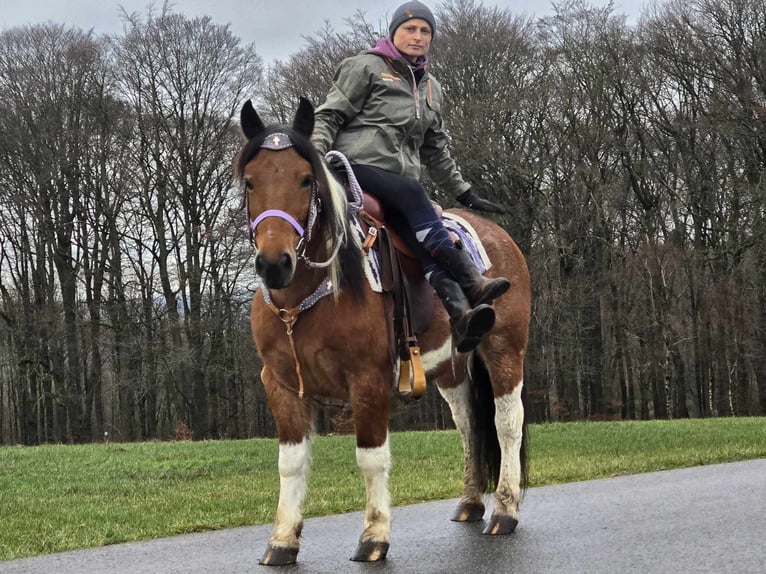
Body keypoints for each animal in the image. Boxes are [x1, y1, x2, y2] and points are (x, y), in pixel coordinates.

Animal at [237, 99, 532, 568]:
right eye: (250, 182)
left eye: (306, 180)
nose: (274, 262)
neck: (306, 299)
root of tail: (496, 234)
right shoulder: (281, 384)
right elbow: (291, 463)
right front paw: (282, 540)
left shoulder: (369, 381)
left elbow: (371, 458)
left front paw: (374, 536)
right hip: (452, 368)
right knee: (469, 425)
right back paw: (470, 502)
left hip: (506, 347)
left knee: (506, 422)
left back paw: (505, 509)